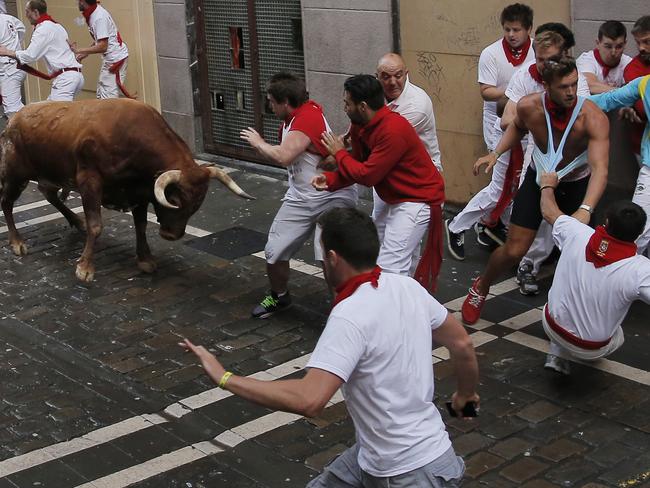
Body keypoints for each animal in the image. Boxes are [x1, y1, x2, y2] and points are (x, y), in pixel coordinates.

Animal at [0, 99, 253, 282]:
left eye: (196, 206)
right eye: (174, 199)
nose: (171, 235)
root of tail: (15, 119)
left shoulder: (139, 192)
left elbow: (140, 225)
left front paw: (145, 259)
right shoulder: (90, 183)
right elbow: (96, 226)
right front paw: (85, 267)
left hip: (50, 175)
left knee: (49, 193)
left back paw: (75, 221)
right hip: (15, 175)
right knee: (7, 203)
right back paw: (17, 242)